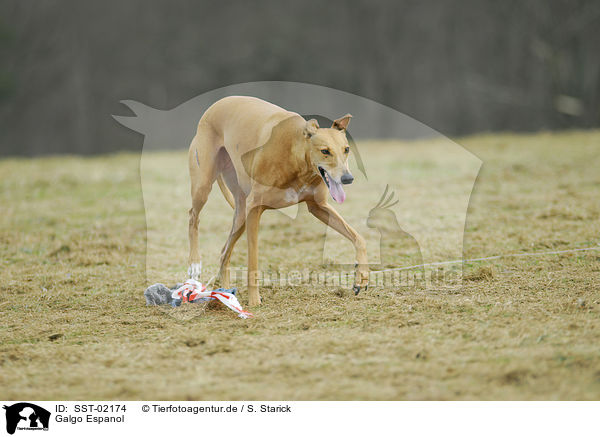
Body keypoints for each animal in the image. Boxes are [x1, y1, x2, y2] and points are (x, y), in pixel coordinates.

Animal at [188, 96, 368, 304]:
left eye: (346, 149)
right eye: (325, 151)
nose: (348, 178)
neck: (296, 156)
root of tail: (214, 106)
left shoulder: (319, 207)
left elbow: (359, 238)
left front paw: (362, 277)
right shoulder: (254, 209)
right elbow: (253, 262)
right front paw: (254, 301)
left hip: (240, 213)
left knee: (224, 253)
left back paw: (225, 294)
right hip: (204, 186)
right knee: (193, 216)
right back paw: (194, 263)